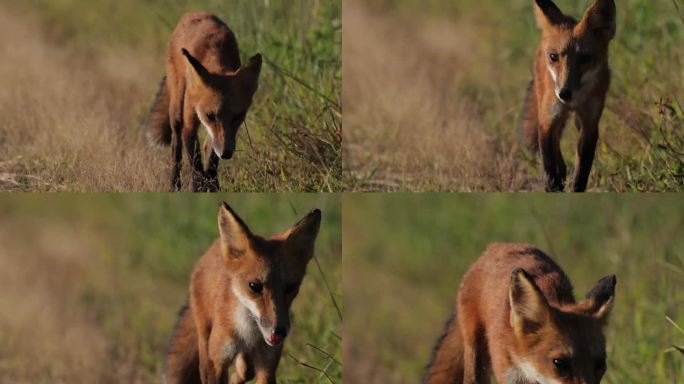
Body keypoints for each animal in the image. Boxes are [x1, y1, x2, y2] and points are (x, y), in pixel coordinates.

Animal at [147, 12, 262, 192]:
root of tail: (193, 13)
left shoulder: (219, 136)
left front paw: (211, 186)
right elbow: (195, 166)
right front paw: (198, 188)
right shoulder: (190, 124)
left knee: (208, 149)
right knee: (176, 148)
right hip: (177, 109)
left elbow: (211, 162)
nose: (226, 153)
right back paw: (174, 184)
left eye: (238, 117)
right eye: (210, 116)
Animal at [163, 202, 320, 382]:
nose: (279, 332)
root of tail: (214, 244)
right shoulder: (217, 361)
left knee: (246, 370)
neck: (248, 334)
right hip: (204, 341)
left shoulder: (268, 364)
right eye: (254, 286)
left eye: (291, 287)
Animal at [524, 0, 616, 192]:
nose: (564, 93)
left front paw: (574, 188)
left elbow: (582, 171)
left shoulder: (589, 123)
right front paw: (552, 186)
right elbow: (549, 167)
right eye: (553, 57)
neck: (575, 101)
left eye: (585, 58)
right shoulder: (547, 120)